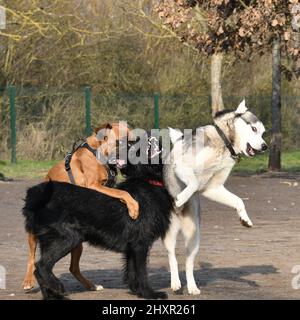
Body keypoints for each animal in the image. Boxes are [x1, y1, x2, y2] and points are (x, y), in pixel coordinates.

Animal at [22, 121, 139, 292]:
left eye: (132, 141)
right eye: (120, 142)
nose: (133, 151)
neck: (98, 152)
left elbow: (121, 193)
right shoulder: (94, 186)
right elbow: (123, 192)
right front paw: (134, 207)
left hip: (76, 243)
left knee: (73, 267)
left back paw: (91, 286)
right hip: (34, 234)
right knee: (31, 257)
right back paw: (28, 282)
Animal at [22, 156, 172, 298]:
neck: (148, 181)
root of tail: (35, 197)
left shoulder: (132, 247)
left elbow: (132, 272)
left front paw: (137, 291)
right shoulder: (140, 244)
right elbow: (142, 272)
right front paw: (149, 294)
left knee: (40, 271)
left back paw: (52, 295)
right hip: (67, 239)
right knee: (41, 266)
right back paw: (58, 287)